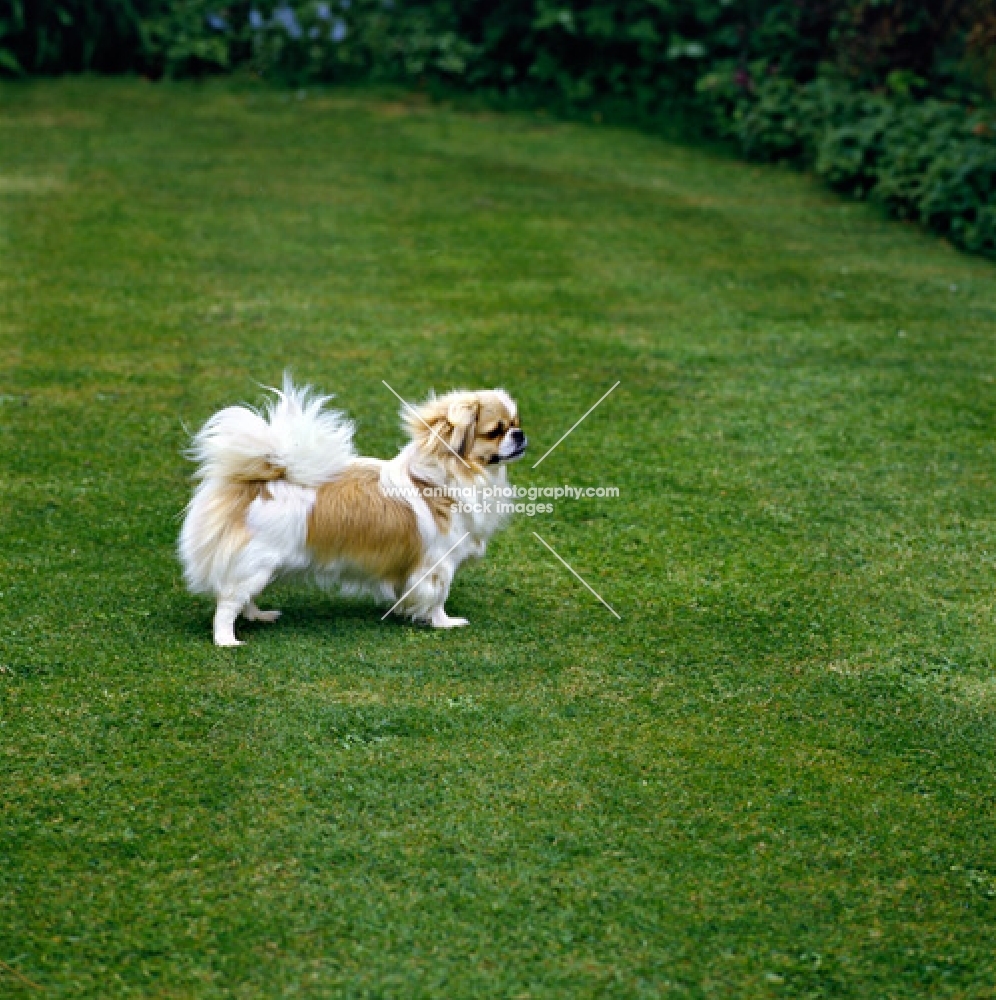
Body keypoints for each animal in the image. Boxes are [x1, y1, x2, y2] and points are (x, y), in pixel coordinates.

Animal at [177, 376, 528, 648]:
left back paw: (259, 616)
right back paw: (227, 641)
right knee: (227, 603)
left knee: (243, 597)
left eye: (515, 424)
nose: (519, 435)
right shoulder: (438, 564)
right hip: (256, 563)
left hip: (257, 565)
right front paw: (445, 623)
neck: (445, 478)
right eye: (495, 431)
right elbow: (437, 598)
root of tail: (259, 483)